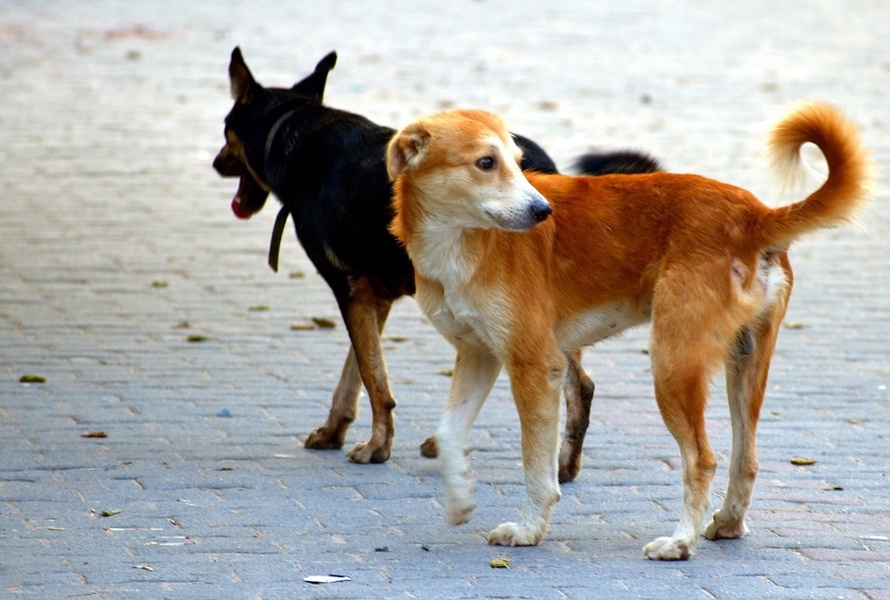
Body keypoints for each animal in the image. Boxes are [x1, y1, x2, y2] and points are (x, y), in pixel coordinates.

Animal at [213, 48, 660, 474]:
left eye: (225, 130)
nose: (216, 163)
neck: (295, 129)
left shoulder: (350, 287)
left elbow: (373, 377)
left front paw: (377, 446)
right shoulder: (376, 297)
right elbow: (355, 372)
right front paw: (335, 429)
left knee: (566, 380)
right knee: (576, 384)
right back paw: (561, 464)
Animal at [386, 103, 868, 556]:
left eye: (519, 161)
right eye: (486, 162)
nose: (543, 211)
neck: (462, 242)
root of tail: (754, 214)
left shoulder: (535, 366)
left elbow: (536, 469)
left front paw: (528, 530)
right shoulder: (479, 355)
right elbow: (449, 434)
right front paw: (460, 499)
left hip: (672, 365)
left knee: (703, 459)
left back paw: (680, 542)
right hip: (745, 364)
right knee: (745, 460)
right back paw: (728, 523)